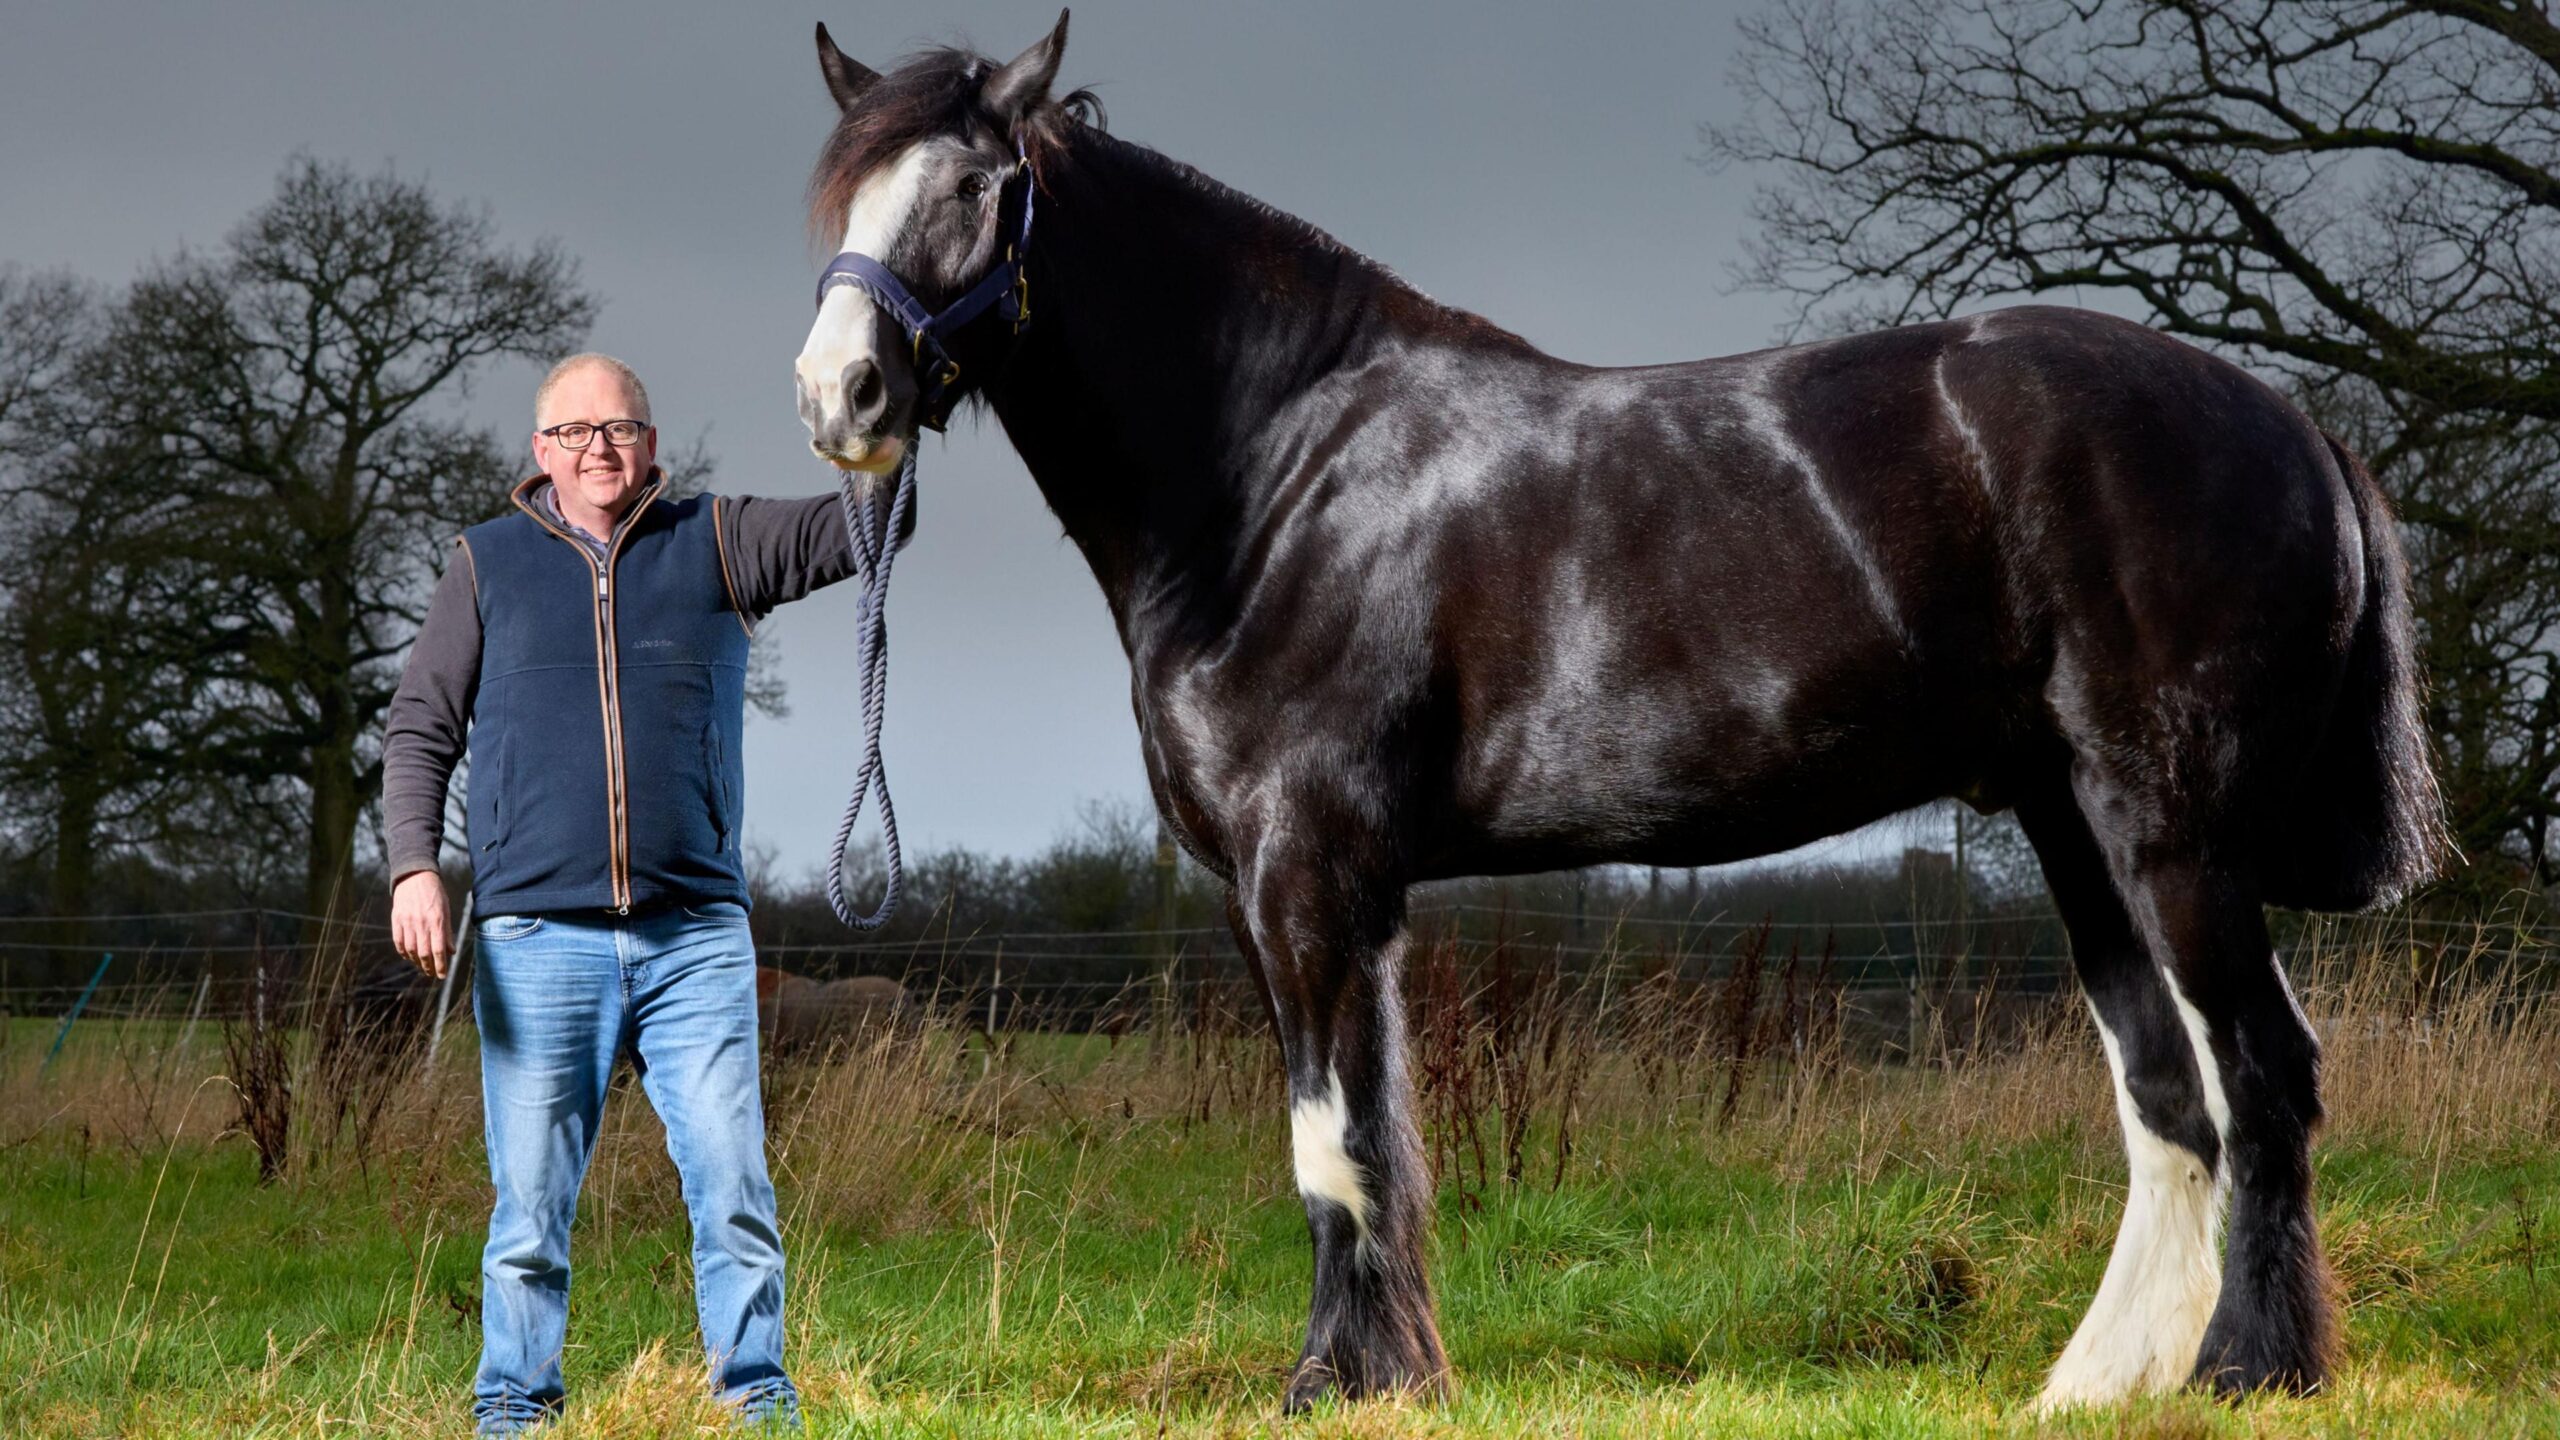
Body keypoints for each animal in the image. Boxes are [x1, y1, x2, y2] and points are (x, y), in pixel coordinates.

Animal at [788, 15, 2445, 1413]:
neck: (1276, 476)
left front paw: (1329, 1384)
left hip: (2171, 832)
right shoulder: (1323, 897)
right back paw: (2099, 1385)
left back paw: (2249, 1370)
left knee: (2264, 1078)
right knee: (2171, 1102)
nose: (840, 396)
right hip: (2076, 832)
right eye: (841, 197)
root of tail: (2291, 422)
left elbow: (1332, 1144)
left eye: (974, 187)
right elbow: (1376, 1135)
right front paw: (1397, 1376)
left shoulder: (1303, 873)